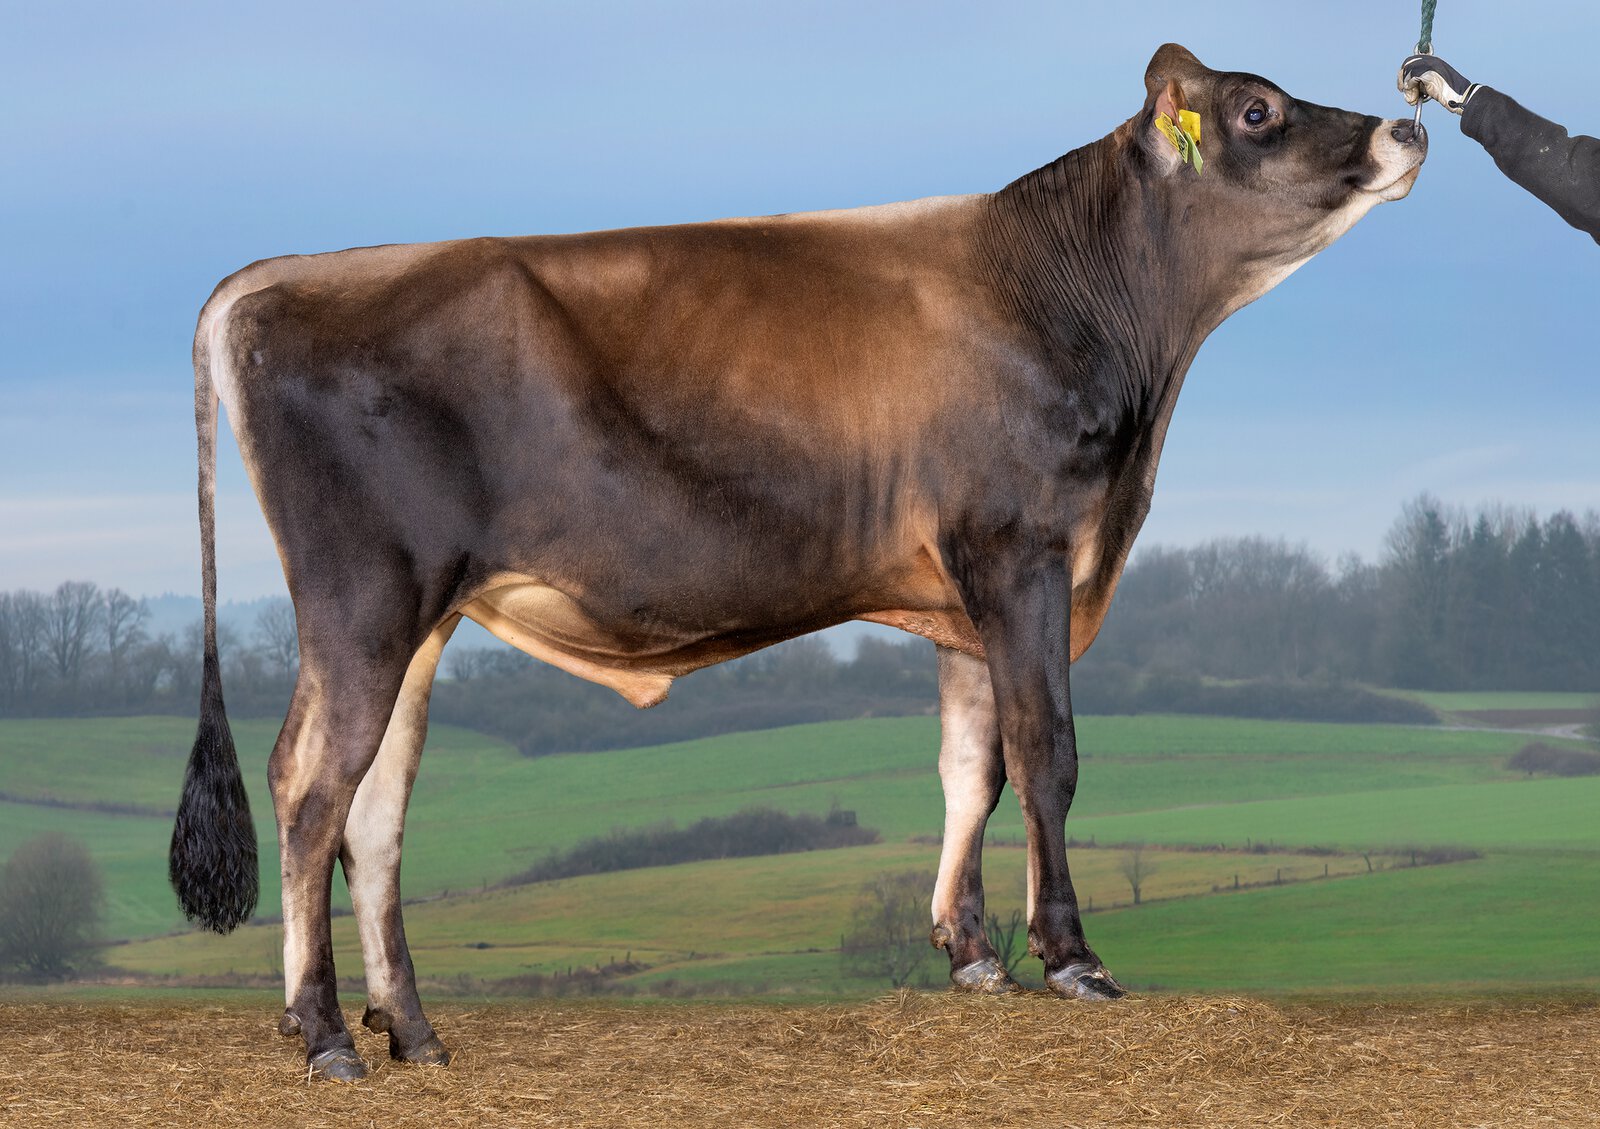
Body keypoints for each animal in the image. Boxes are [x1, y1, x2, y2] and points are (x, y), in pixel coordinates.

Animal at [170, 44, 1425, 1080]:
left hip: (421, 616)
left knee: (375, 807)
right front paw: (1070, 958)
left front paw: (970, 953)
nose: (1406, 129)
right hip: (365, 595)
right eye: (1257, 110)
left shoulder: (962, 593)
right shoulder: (1018, 547)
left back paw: (414, 1030)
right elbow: (1046, 753)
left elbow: (969, 766)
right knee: (309, 786)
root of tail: (282, 274)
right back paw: (325, 1034)